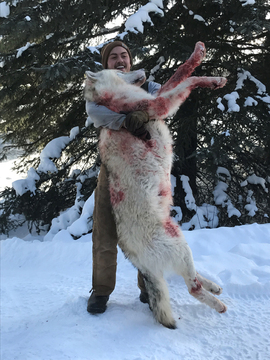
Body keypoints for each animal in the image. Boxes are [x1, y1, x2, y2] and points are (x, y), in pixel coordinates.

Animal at [84, 42, 228, 330]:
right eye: (117, 68)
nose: (142, 70)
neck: (110, 99)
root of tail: (137, 260)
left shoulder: (158, 94)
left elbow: (181, 71)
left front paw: (199, 56)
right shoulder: (159, 103)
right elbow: (190, 78)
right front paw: (212, 77)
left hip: (178, 248)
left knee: (191, 279)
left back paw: (215, 288)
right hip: (179, 244)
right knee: (191, 288)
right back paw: (218, 305)